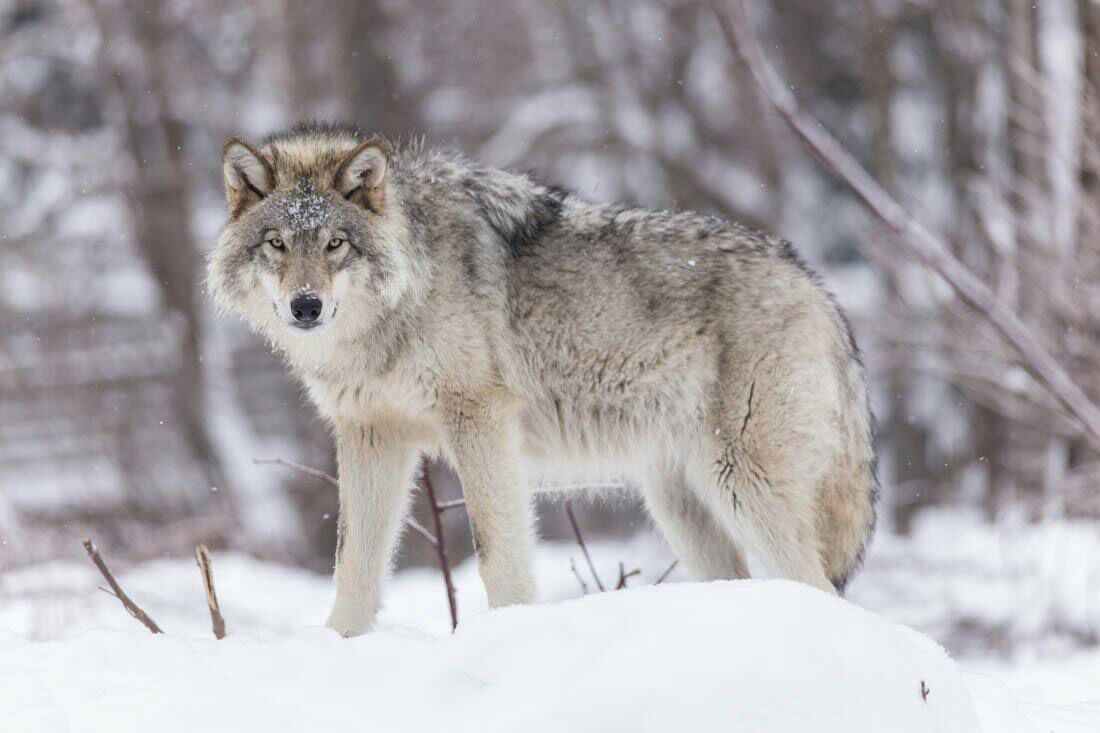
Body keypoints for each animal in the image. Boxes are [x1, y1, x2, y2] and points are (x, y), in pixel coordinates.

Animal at [206, 119, 875, 633]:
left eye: (336, 244)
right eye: (277, 244)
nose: (306, 307)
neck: (396, 306)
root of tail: (816, 285)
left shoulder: (479, 420)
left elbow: (496, 553)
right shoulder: (370, 434)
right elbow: (353, 564)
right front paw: (340, 644)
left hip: (742, 485)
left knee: (820, 586)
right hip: (682, 503)